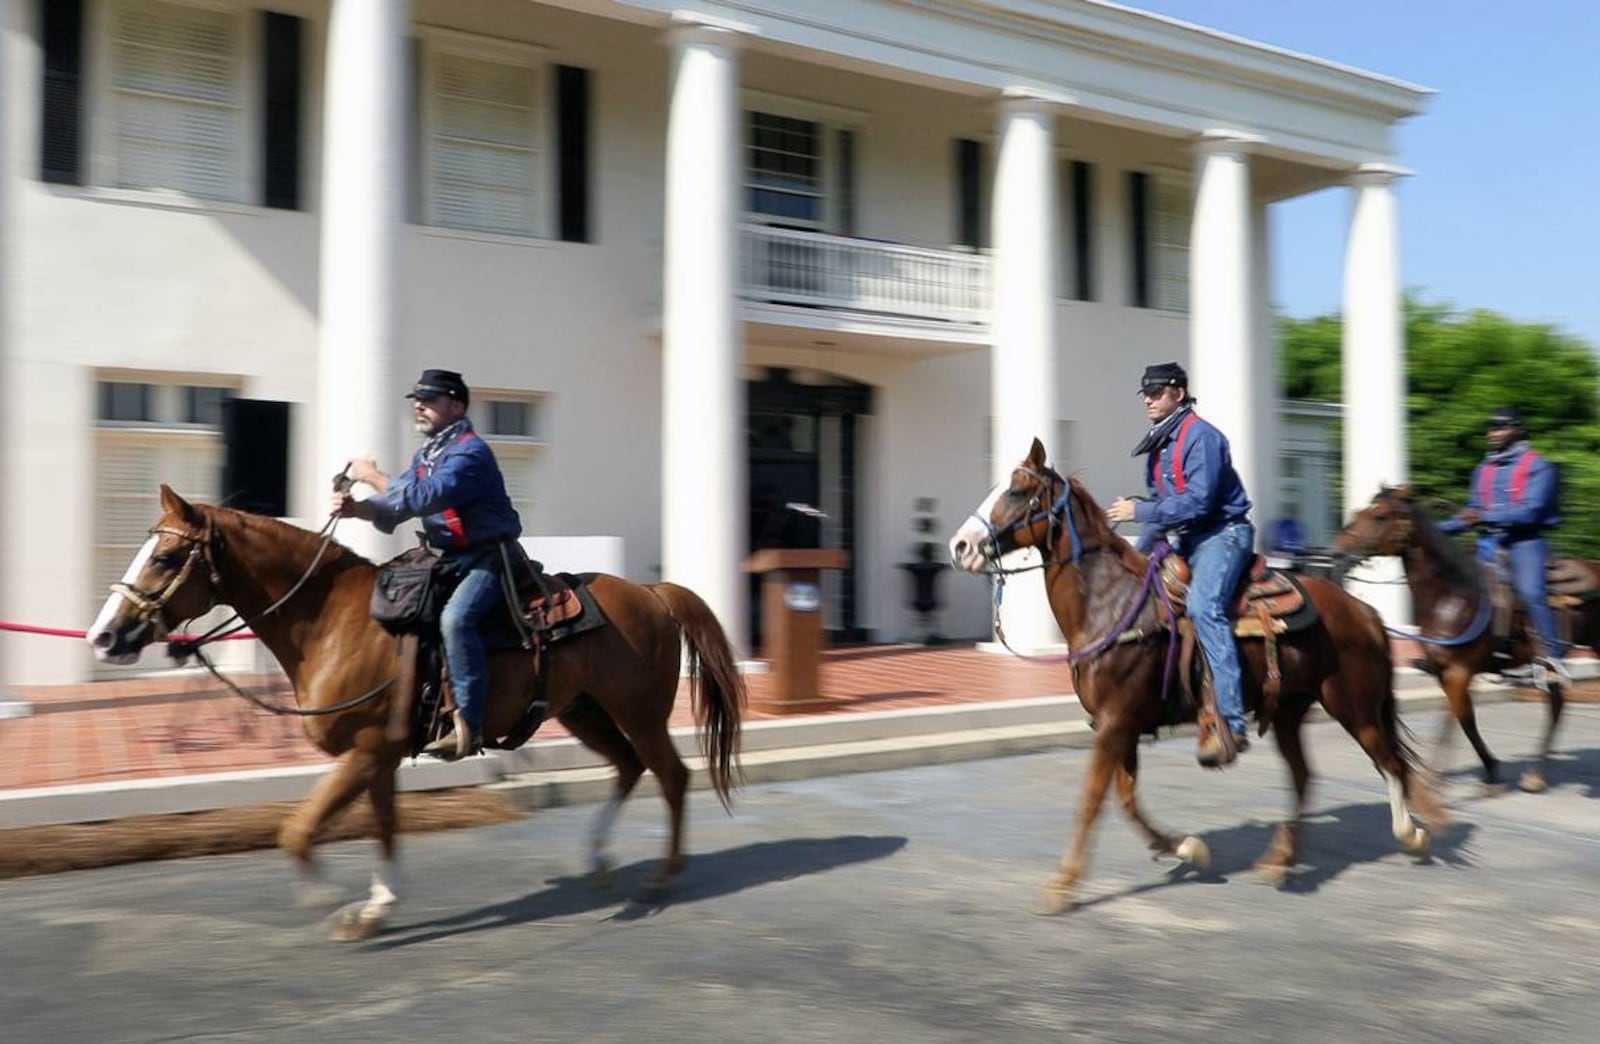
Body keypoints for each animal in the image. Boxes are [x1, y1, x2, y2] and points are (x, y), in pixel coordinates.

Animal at [81, 486, 742, 935]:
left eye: (165, 558)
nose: (104, 636)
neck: (334, 620)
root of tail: (653, 593)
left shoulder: (368, 750)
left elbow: (299, 829)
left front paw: (329, 896)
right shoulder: (380, 754)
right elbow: (383, 829)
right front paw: (375, 908)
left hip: (638, 711)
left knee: (671, 775)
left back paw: (660, 875)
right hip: (584, 711)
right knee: (629, 768)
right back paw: (599, 858)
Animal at [940, 441, 1446, 915]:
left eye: (1016, 491)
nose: (959, 546)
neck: (1109, 605)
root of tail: (1365, 612)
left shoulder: (1115, 723)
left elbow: (1091, 801)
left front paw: (1062, 886)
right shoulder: (1120, 726)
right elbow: (1126, 799)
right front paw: (1189, 848)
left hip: (1354, 708)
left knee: (1390, 764)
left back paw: (1412, 835)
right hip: (1289, 712)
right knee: (1305, 776)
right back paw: (1279, 860)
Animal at [1331, 486, 1580, 791]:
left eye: (1380, 516)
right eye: (1361, 511)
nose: (1337, 551)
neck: (1451, 598)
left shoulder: (1458, 673)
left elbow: (1455, 720)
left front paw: (1435, 780)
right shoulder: (1444, 673)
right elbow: (1465, 720)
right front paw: (1491, 768)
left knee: (1556, 705)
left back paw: (1535, 774)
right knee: (1557, 704)